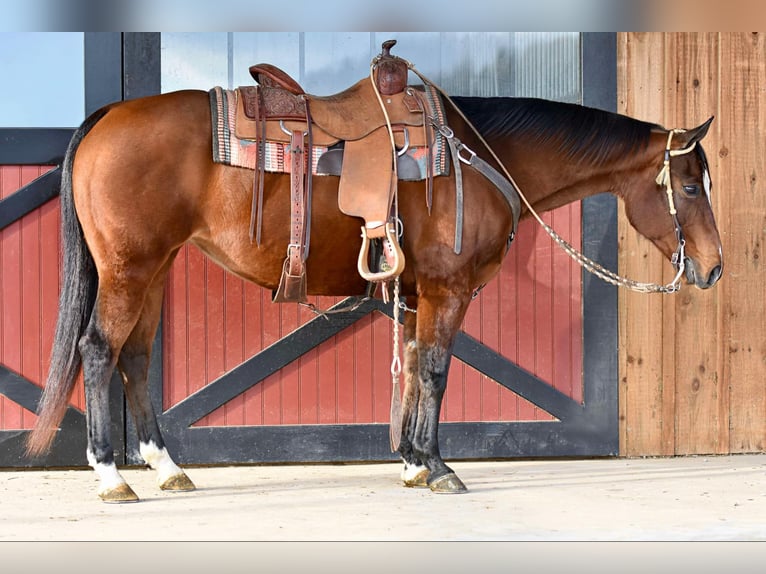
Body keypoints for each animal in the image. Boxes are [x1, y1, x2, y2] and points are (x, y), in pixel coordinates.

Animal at [25, 82, 720, 504]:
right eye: (689, 186)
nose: (713, 268)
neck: (477, 157)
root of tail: (110, 115)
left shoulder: (416, 293)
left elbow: (411, 367)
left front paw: (412, 462)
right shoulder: (448, 290)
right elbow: (435, 371)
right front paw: (439, 468)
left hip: (156, 269)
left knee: (136, 357)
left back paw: (168, 469)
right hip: (129, 270)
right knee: (98, 350)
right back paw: (110, 477)